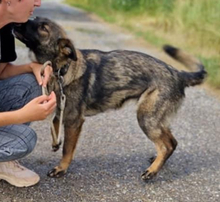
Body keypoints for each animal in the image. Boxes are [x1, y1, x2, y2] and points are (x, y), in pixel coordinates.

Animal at [13, 17, 206, 180]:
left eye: (43, 28)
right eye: (35, 19)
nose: (16, 23)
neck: (63, 67)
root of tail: (178, 73)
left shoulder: (74, 121)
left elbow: (67, 149)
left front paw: (61, 168)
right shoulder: (62, 109)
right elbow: (55, 124)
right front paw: (55, 143)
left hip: (146, 117)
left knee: (166, 145)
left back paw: (152, 172)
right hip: (155, 119)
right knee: (171, 142)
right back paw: (157, 162)